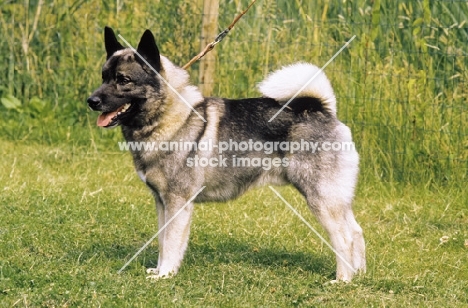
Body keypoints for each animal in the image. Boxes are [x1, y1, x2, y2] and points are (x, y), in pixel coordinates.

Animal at [88, 27, 366, 282]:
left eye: (123, 80)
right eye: (104, 77)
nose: (91, 101)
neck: (169, 117)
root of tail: (323, 109)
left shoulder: (177, 202)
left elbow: (171, 243)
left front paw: (165, 275)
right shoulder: (162, 202)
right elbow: (162, 241)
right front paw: (159, 270)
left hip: (321, 198)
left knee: (343, 238)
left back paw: (342, 279)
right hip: (335, 198)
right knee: (356, 232)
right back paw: (359, 274)